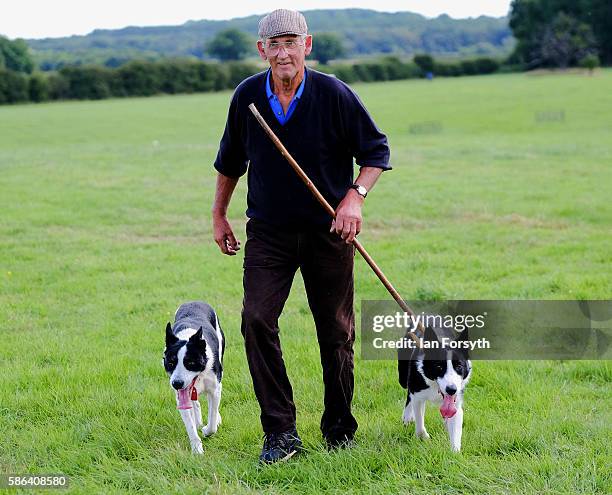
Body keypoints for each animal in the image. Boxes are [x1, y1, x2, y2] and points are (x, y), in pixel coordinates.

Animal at [163, 300, 225, 456]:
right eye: (171, 363)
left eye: (190, 363)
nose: (177, 383)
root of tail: (194, 301)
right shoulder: (180, 394)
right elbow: (189, 424)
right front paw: (197, 450)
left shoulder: (215, 387)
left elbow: (212, 417)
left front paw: (207, 429)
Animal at [396, 326, 474, 454]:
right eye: (439, 367)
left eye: (459, 366)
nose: (451, 389)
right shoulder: (418, 396)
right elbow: (419, 423)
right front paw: (424, 437)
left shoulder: (456, 402)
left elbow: (455, 429)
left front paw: (454, 453)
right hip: (403, 378)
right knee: (408, 392)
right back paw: (407, 417)